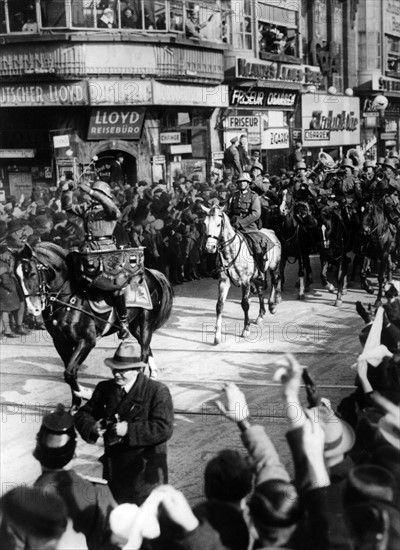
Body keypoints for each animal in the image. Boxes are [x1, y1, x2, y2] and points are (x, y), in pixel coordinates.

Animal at [13, 244, 173, 412]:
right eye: (16, 277)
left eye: (31, 273)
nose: (33, 309)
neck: (68, 299)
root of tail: (151, 273)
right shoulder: (61, 343)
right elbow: (69, 372)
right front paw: (75, 405)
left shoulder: (87, 341)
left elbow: (69, 372)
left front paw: (85, 393)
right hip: (135, 325)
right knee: (145, 348)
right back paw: (153, 373)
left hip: (146, 322)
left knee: (143, 353)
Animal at [203, 206, 282, 344]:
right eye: (205, 224)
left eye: (218, 224)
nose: (210, 248)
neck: (231, 251)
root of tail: (271, 232)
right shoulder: (224, 281)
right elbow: (219, 305)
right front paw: (217, 336)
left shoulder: (245, 281)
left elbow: (245, 304)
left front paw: (246, 329)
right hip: (257, 276)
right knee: (260, 291)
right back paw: (261, 315)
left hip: (274, 267)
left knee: (275, 282)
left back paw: (272, 305)